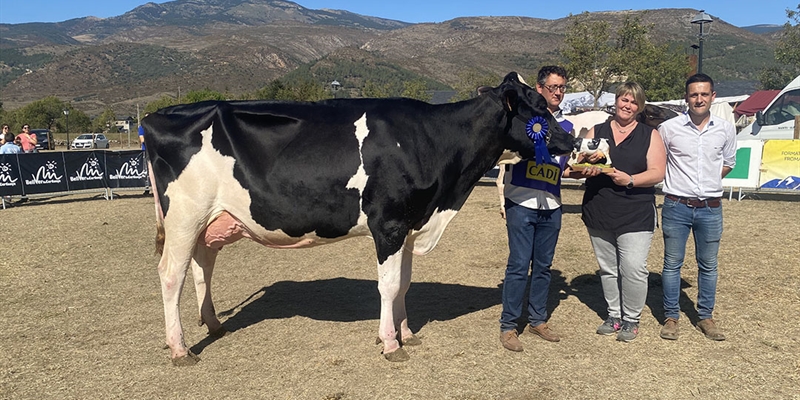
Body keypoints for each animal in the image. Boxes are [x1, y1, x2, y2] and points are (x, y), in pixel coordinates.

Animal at [144, 72, 580, 366]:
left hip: (211, 219)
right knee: (171, 274)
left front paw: (407, 334)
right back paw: (180, 349)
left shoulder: (408, 225)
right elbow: (388, 286)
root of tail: (157, 116)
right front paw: (390, 343)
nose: (571, 139)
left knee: (203, 264)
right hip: (184, 215)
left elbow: (404, 284)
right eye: (538, 107)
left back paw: (214, 324)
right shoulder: (388, 224)